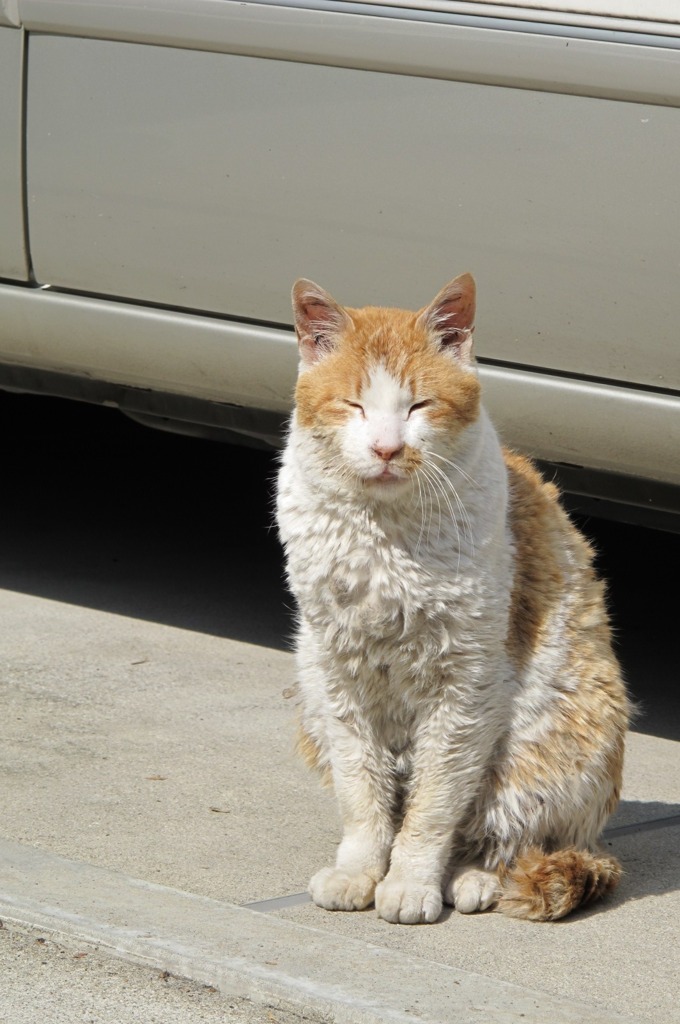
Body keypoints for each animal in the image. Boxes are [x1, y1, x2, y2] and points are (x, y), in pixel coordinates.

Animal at [274, 274, 630, 929]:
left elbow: (434, 807)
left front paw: (411, 883)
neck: (385, 535)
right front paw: (359, 872)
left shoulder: (465, 686)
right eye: (354, 406)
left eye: (419, 406)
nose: (387, 449)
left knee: (505, 838)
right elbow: (363, 796)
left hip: (548, 744)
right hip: (308, 690)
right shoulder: (337, 676)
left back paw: (471, 879)